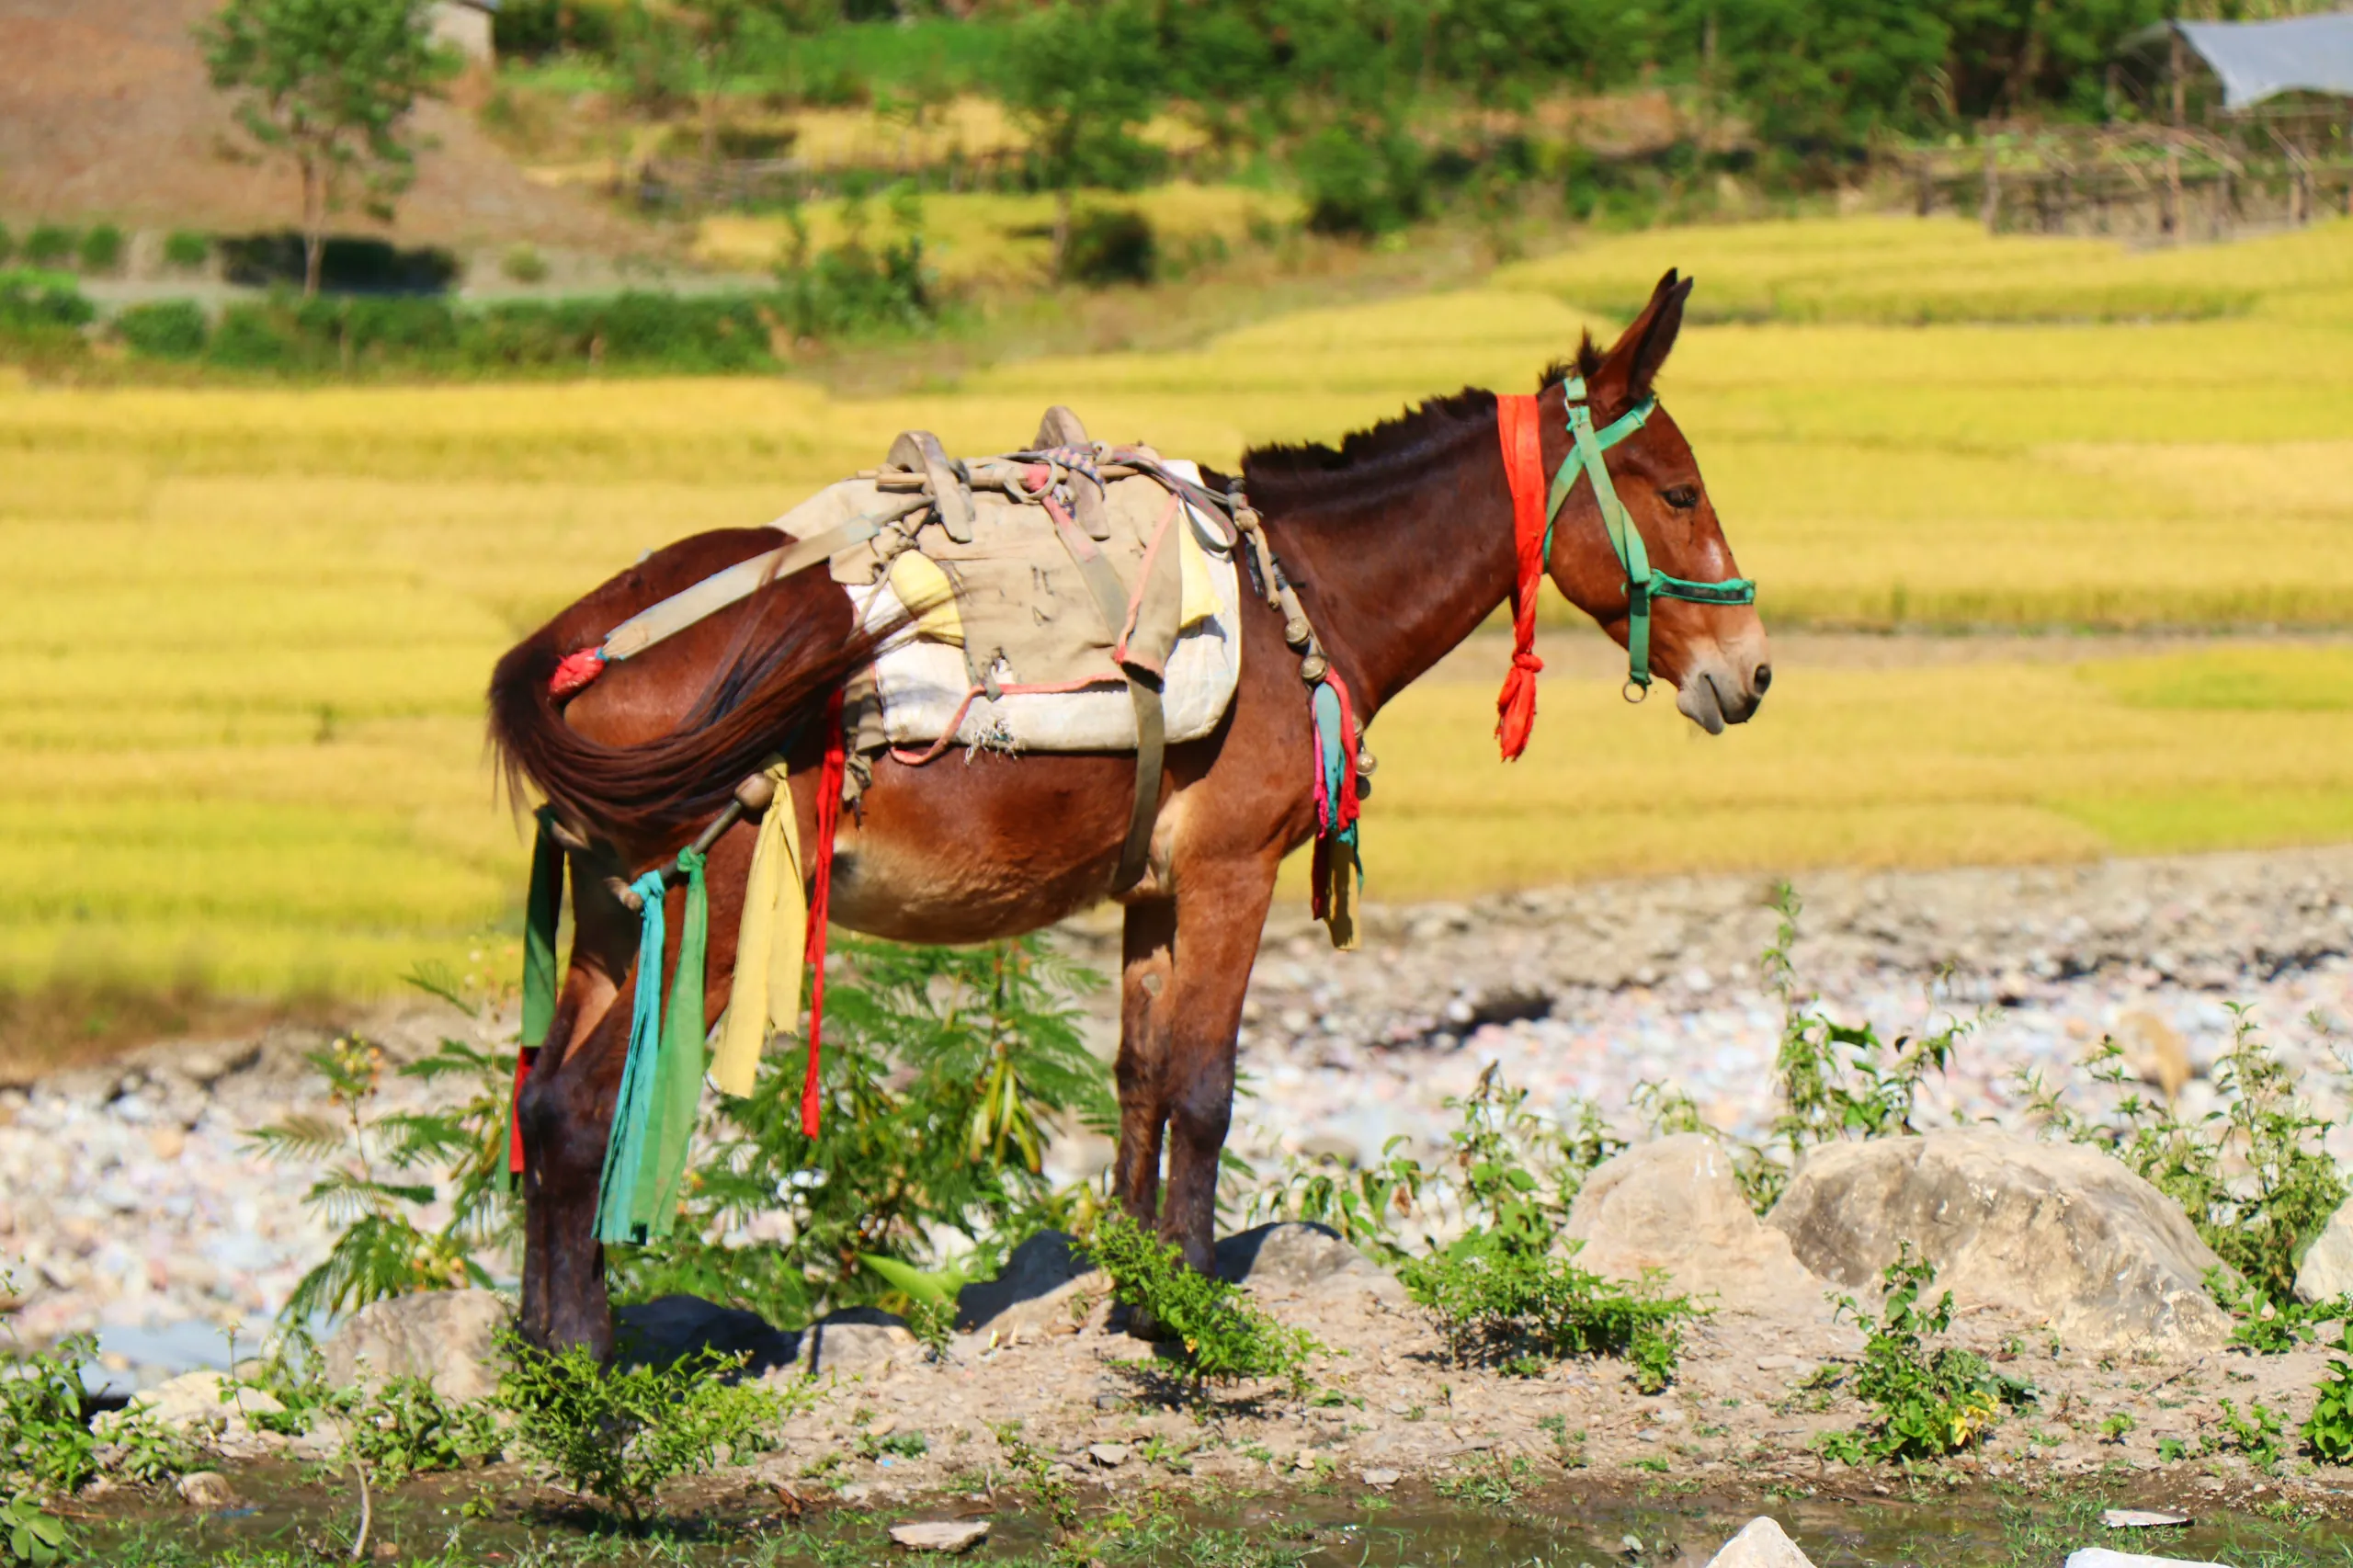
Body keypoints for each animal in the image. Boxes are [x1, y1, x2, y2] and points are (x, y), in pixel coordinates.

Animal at [489, 270, 1771, 1357]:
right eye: (1679, 490)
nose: (1751, 672)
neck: (1295, 594)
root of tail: (579, 641)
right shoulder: (1230, 872)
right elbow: (1206, 1085)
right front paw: (1192, 1308)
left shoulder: (1154, 890)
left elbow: (1140, 1075)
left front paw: (1139, 1284)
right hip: (702, 911)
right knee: (582, 1113)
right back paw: (584, 1365)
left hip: (615, 919)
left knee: (542, 1101)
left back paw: (544, 1348)